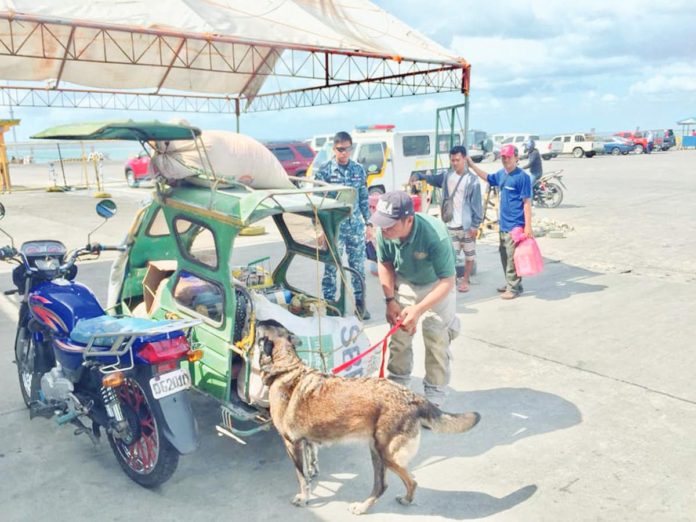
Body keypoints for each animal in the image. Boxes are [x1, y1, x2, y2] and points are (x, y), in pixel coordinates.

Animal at [258, 316, 482, 512]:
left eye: (263, 326)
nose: (257, 319)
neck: (286, 366)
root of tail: (411, 396)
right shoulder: (306, 441)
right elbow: (311, 461)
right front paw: (313, 470)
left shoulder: (291, 444)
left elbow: (301, 477)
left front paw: (304, 497)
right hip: (377, 451)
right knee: (390, 484)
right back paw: (393, 501)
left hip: (386, 454)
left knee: (402, 482)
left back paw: (366, 507)